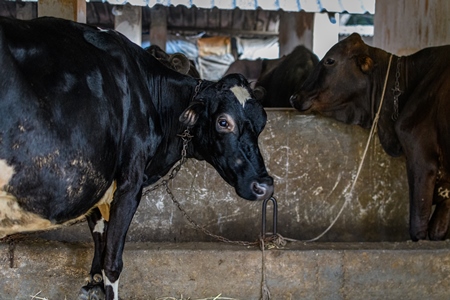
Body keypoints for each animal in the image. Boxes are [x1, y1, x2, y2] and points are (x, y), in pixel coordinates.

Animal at [0, 17, 274, 300]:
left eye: (262, 122)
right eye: (223, 122)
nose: (264, 185)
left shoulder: (98, 180)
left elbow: (100, 238)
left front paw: (92, 284)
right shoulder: (130, 183)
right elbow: (112, 261)